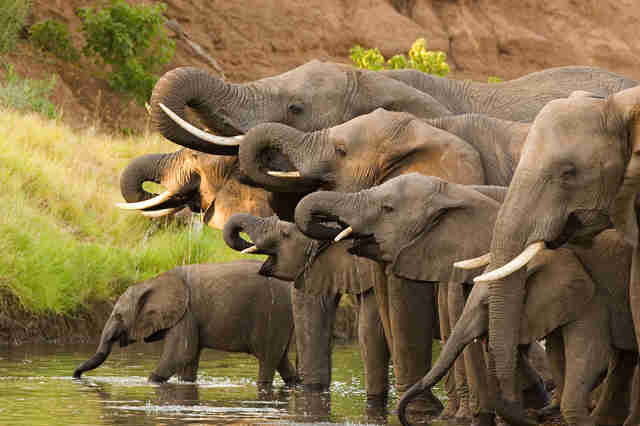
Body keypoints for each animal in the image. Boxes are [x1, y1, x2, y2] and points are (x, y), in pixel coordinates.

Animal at [73, 260, 297, 389]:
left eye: (118, 316)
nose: (76, 375)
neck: (151, 281)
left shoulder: (186, 313)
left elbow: (180, 354)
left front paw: (150, 382)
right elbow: (188, 360)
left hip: (272, 314)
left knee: (267, 359)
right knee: (281, 359)